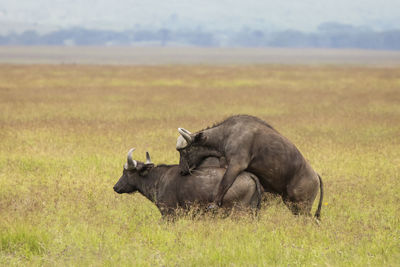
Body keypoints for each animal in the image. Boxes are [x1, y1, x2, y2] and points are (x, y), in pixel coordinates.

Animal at [177, 115, 324, 220]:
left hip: (302, 206)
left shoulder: (236, 164)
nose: (182, 171)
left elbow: (224, 183)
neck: (228, 134)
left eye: (185, 151)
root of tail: (316, 175)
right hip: (292, 204)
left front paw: (214, 204)